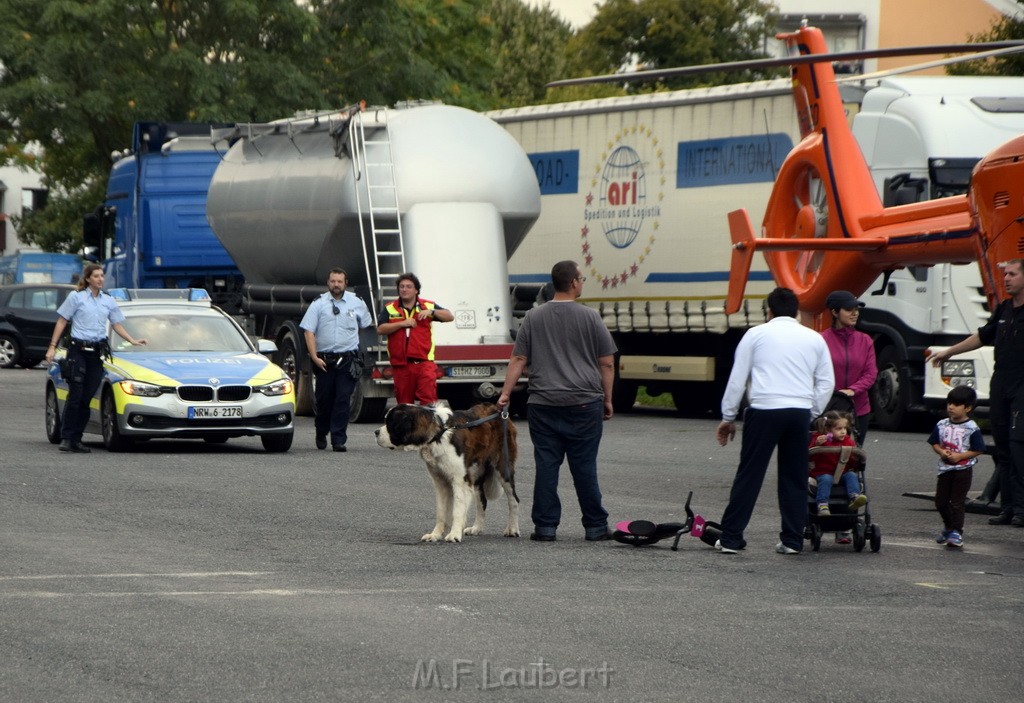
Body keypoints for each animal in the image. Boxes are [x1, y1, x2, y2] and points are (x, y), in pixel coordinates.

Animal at [374, 401, 520, 544]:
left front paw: (454, 535)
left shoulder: (459, 480)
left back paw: (512, 529)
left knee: (513, 500)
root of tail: (499, 410)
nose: (375, 432)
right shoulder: (441, 482)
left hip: (503, 469)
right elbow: (441, 512)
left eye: (390, 424)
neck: (438, 434)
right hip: (477, 473)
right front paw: (435, 535)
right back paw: (477, 528)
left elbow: (457, 510)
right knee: (482, 501)